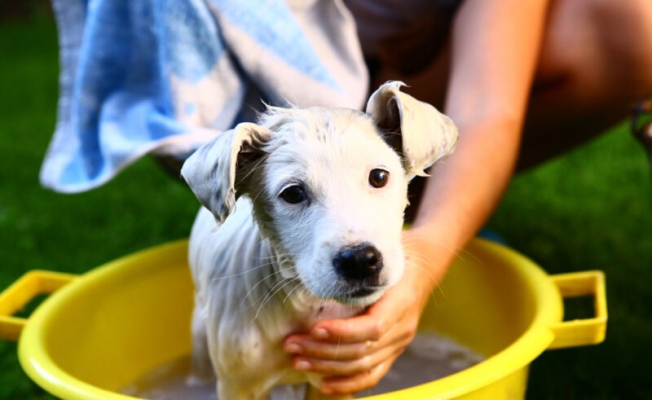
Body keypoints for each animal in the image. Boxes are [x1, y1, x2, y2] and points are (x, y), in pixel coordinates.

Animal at [180, 81, 458, 400]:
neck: (304, 305)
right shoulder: (238, 385)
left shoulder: (336, 379)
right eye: (293, 193)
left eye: (378, 176)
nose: (360, 261)